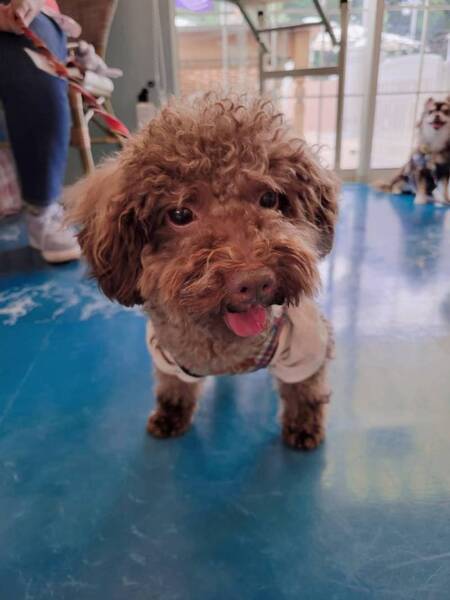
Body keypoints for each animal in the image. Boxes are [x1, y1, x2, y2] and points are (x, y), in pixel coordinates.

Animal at [67, 95, 339, 450]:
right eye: (180, 214)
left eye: (269, 198)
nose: (255, 282)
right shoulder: (167, 354)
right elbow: (173, 389)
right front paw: (169, 417)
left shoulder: (308, 345)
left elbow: (305, 391)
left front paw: (304, 427)